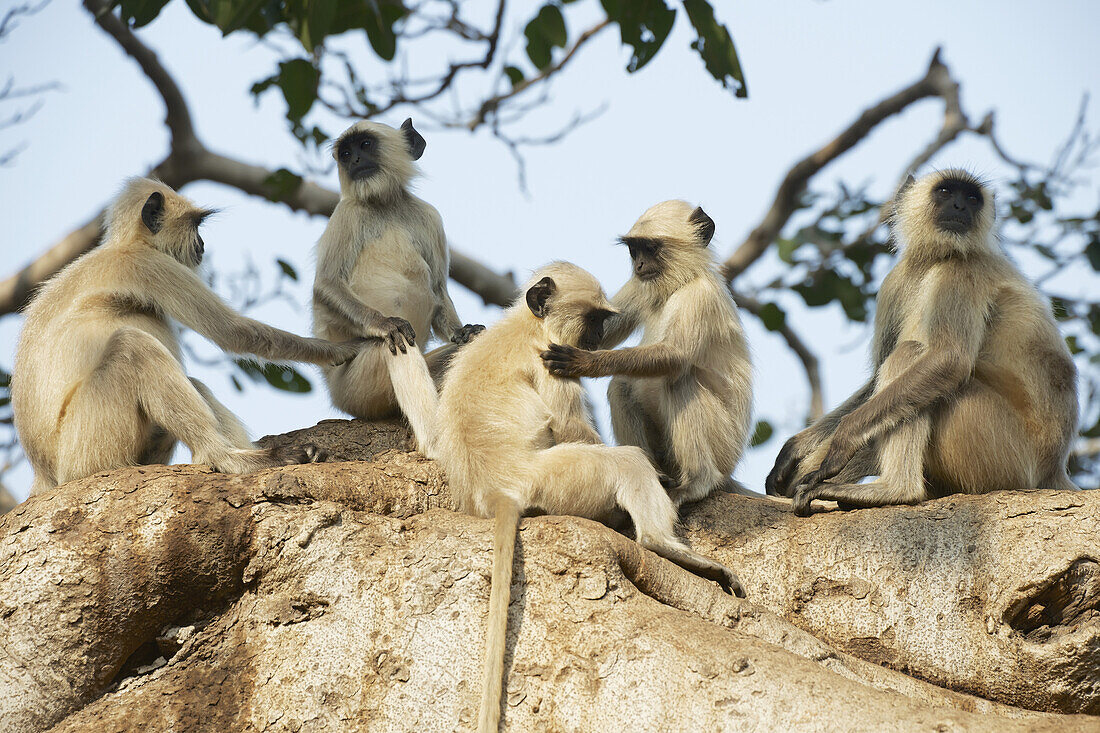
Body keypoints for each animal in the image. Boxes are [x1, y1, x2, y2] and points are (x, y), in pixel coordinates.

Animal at [11, 177, 365, 493]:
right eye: (195, 225)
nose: (203, 244)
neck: (129, 245)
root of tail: (45, 474)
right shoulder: (150, 265)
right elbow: (233, 332)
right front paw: (346, 348)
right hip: (85, 448)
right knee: (132, 346)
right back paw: (231, 459)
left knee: (188, 382)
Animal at [310, 115, 481, 429]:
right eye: (346, 154)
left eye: (365, 145)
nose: (355, 161)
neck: (385, 204)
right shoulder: (346, 214)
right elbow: (326, 285)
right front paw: (385, 323)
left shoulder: (430, 217)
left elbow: (438, 290)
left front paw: (462, 331)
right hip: (352, 389)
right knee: (391, 345)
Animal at [536, 201, 752, 508]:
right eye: (634, 250)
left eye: (650, 248)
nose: (639, 265)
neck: (680, 284)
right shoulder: (640, 284)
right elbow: (603, 331)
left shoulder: (700, 295)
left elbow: (675, 356)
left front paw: (586, 362)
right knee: (622, 386)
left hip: (725, 446)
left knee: (679, 378)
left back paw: (697, 483)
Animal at [770, 167, 1078, 512]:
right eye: (946, 192)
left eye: (972, 198)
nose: (960, 207)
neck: (935, 258)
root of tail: (1052, 469)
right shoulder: (895, 281)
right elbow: (877, 377)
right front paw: (796, 447)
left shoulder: (962, 271)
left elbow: (948, 360)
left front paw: (841, 442)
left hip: (1002, 451)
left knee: (912, 355)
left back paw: (895, 491)